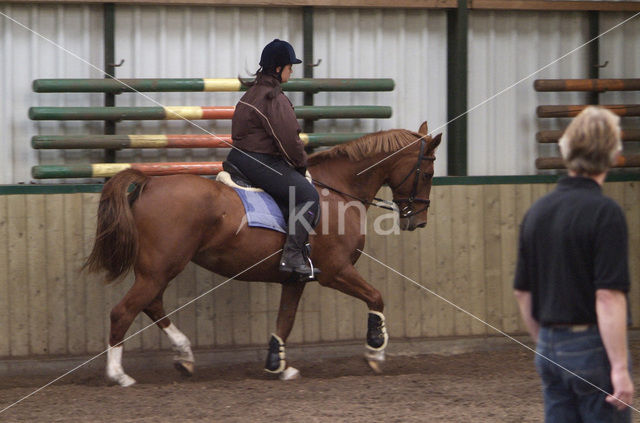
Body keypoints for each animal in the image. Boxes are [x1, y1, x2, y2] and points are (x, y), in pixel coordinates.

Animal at [85, 121, 442, 386]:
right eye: (427, 173)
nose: (418, 220)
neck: (337, 191)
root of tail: (150, 184)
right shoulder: (336, 271)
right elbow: (376, 297)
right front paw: (375, 350)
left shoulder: (296, 278)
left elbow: (285, 319)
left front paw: (277, 365)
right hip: (159, 269)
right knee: (124, 311)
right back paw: (118, 374)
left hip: (158, 270)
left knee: (152, 305)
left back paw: (184, 355)